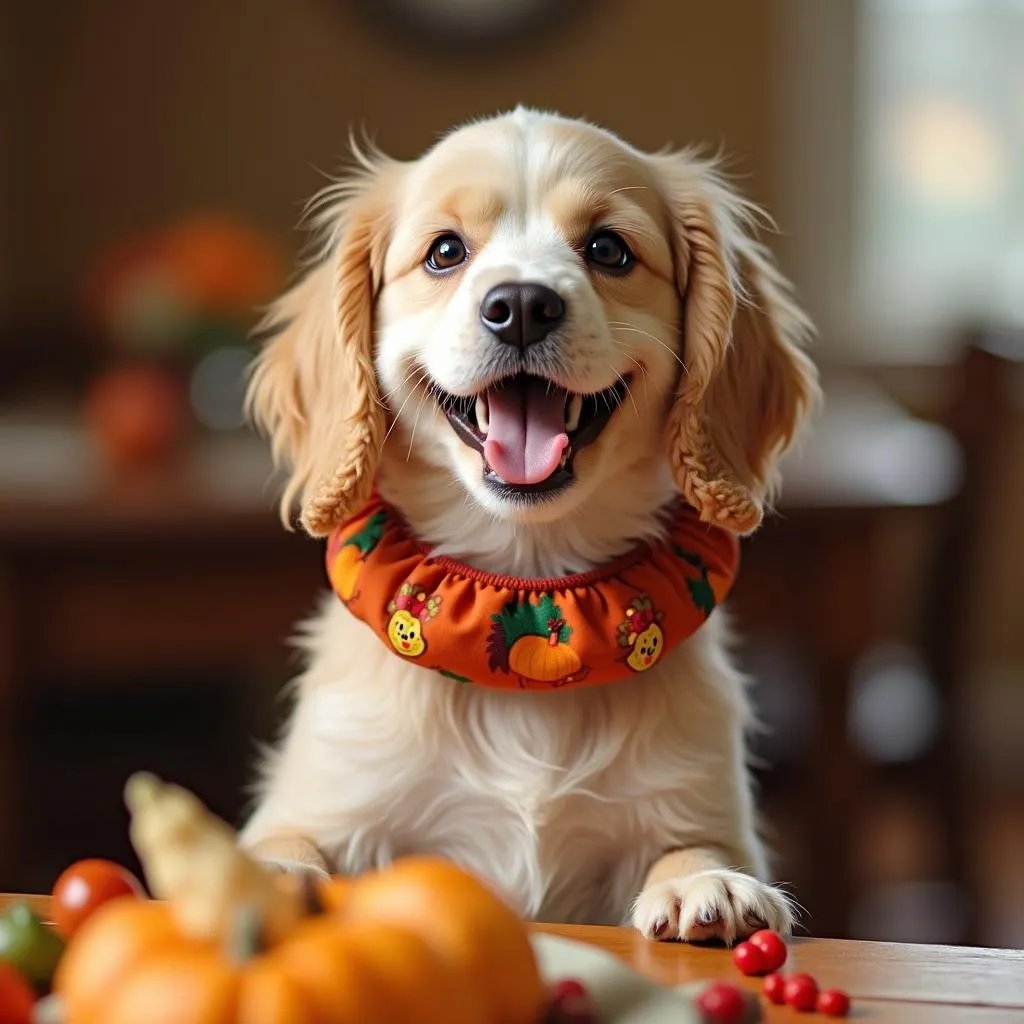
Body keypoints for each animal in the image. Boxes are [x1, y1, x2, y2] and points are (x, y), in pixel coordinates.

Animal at [237, 105, 815, 942]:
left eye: (608, 249)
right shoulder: (327, 797)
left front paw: (703, 883)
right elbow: (285, 844)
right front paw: (267, 879)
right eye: (445, 252)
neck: (527, 587)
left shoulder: (701, 801)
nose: (521, 305)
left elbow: (693, 847)